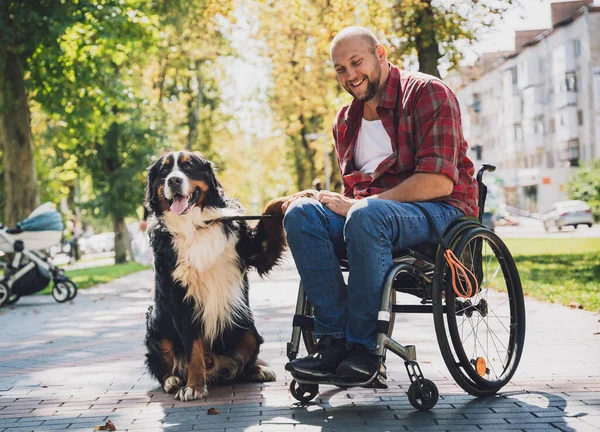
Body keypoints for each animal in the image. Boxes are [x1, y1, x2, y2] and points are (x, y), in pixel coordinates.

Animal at [143, 152, 298, 402]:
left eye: (188, 166)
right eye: (164, 171)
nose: (174, 181)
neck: (194, 225)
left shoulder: (254, 250)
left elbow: (270, 209)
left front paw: (300, 196)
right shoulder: (180, 298)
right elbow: (193, 349)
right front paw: (194, 386)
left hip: (247, 328)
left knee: (244, 363)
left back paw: (258, 370)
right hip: (155, 327)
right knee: (161, 365)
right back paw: (173, 380)